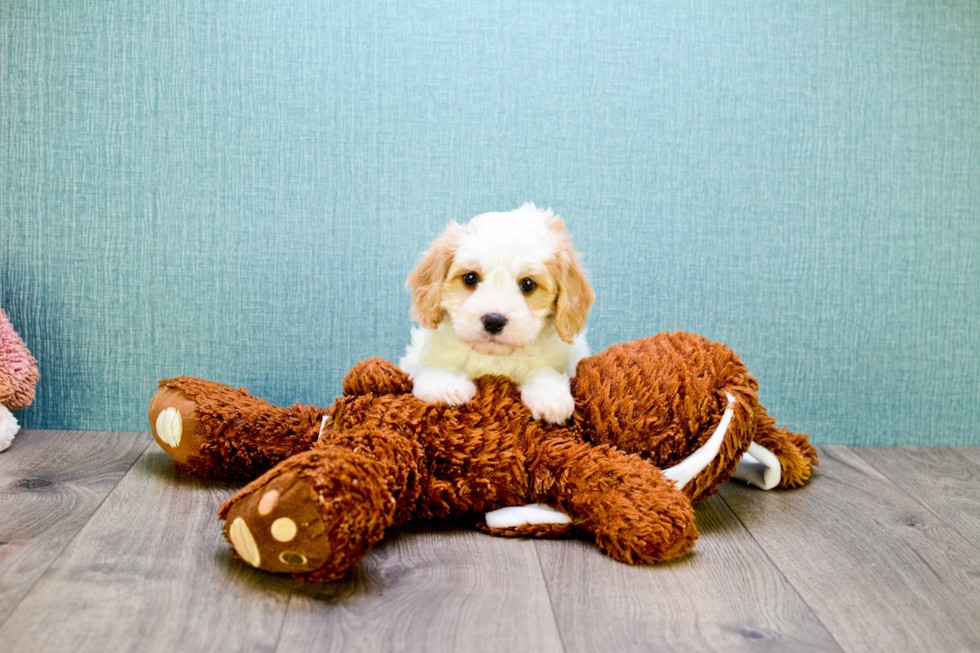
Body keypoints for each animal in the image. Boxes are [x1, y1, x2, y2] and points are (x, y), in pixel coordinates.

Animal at [400, 201, 596, 422]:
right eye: (470, 277)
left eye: (528, 284)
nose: (494, 321)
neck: (494, 358)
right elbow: (434, 367)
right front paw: (445, 384)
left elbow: (545, 371)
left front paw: (549, 396)